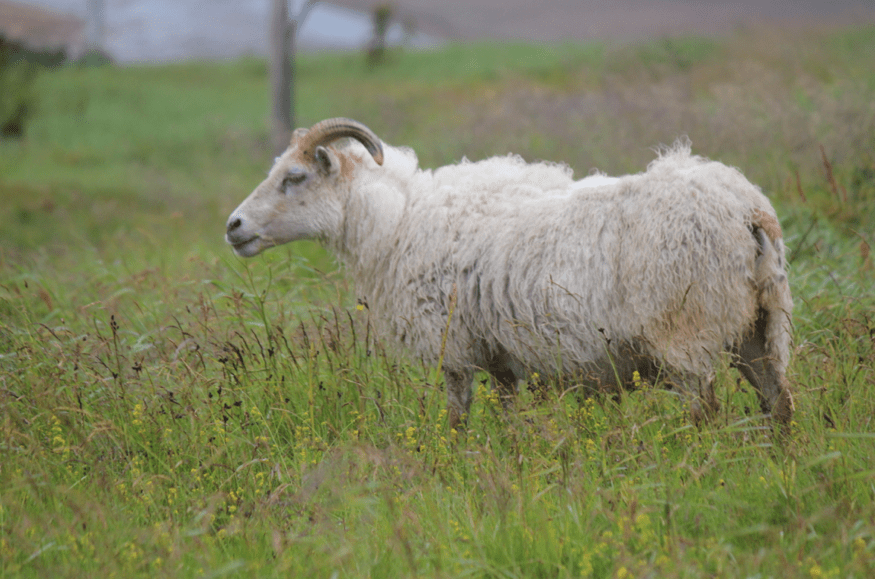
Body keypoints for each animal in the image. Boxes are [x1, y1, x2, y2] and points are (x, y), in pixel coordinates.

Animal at [225, 117, 794, 429]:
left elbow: (457, 418)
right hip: (760, 324)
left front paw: (450, 470)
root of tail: (748, 210)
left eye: (294, 177)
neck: (396, 221)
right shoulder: (500, 352)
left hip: (688, 331)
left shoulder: (453, 343)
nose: (234, 227)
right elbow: (508, 417)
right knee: (779, 403)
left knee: (707, 413)